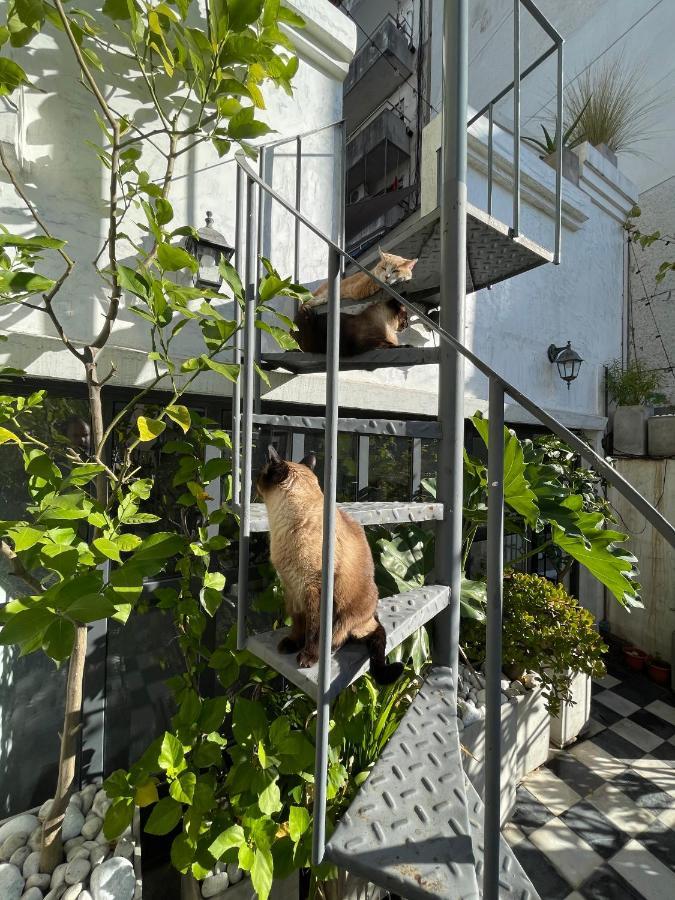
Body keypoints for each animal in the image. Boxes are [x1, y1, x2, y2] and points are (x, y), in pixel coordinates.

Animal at [256, 446, 404, 684]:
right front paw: (292, 643)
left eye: (260, 474)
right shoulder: (292, 589)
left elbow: (314, 630)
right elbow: (298, 624)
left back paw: (330, 648)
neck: (283, 527)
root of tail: (372, 613)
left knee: (344, 634)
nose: (254, 481)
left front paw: (308, 656)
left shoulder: (313, 589)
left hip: (349, 612)